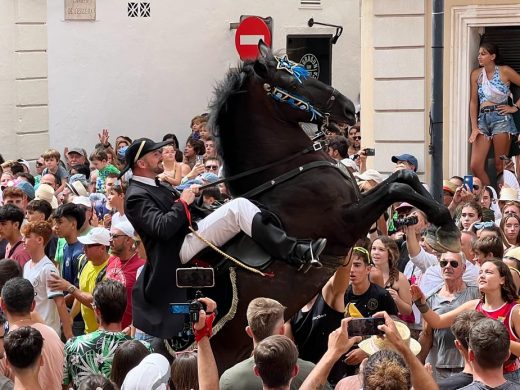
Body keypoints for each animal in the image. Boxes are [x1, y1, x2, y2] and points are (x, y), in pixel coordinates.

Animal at [203, 42, 460, 372]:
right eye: (292, 81)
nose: (350, 108)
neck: (287, 171)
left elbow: (404, 176)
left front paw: (445, 226)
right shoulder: (344, 223)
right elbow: (397, 187)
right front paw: (444, 225)